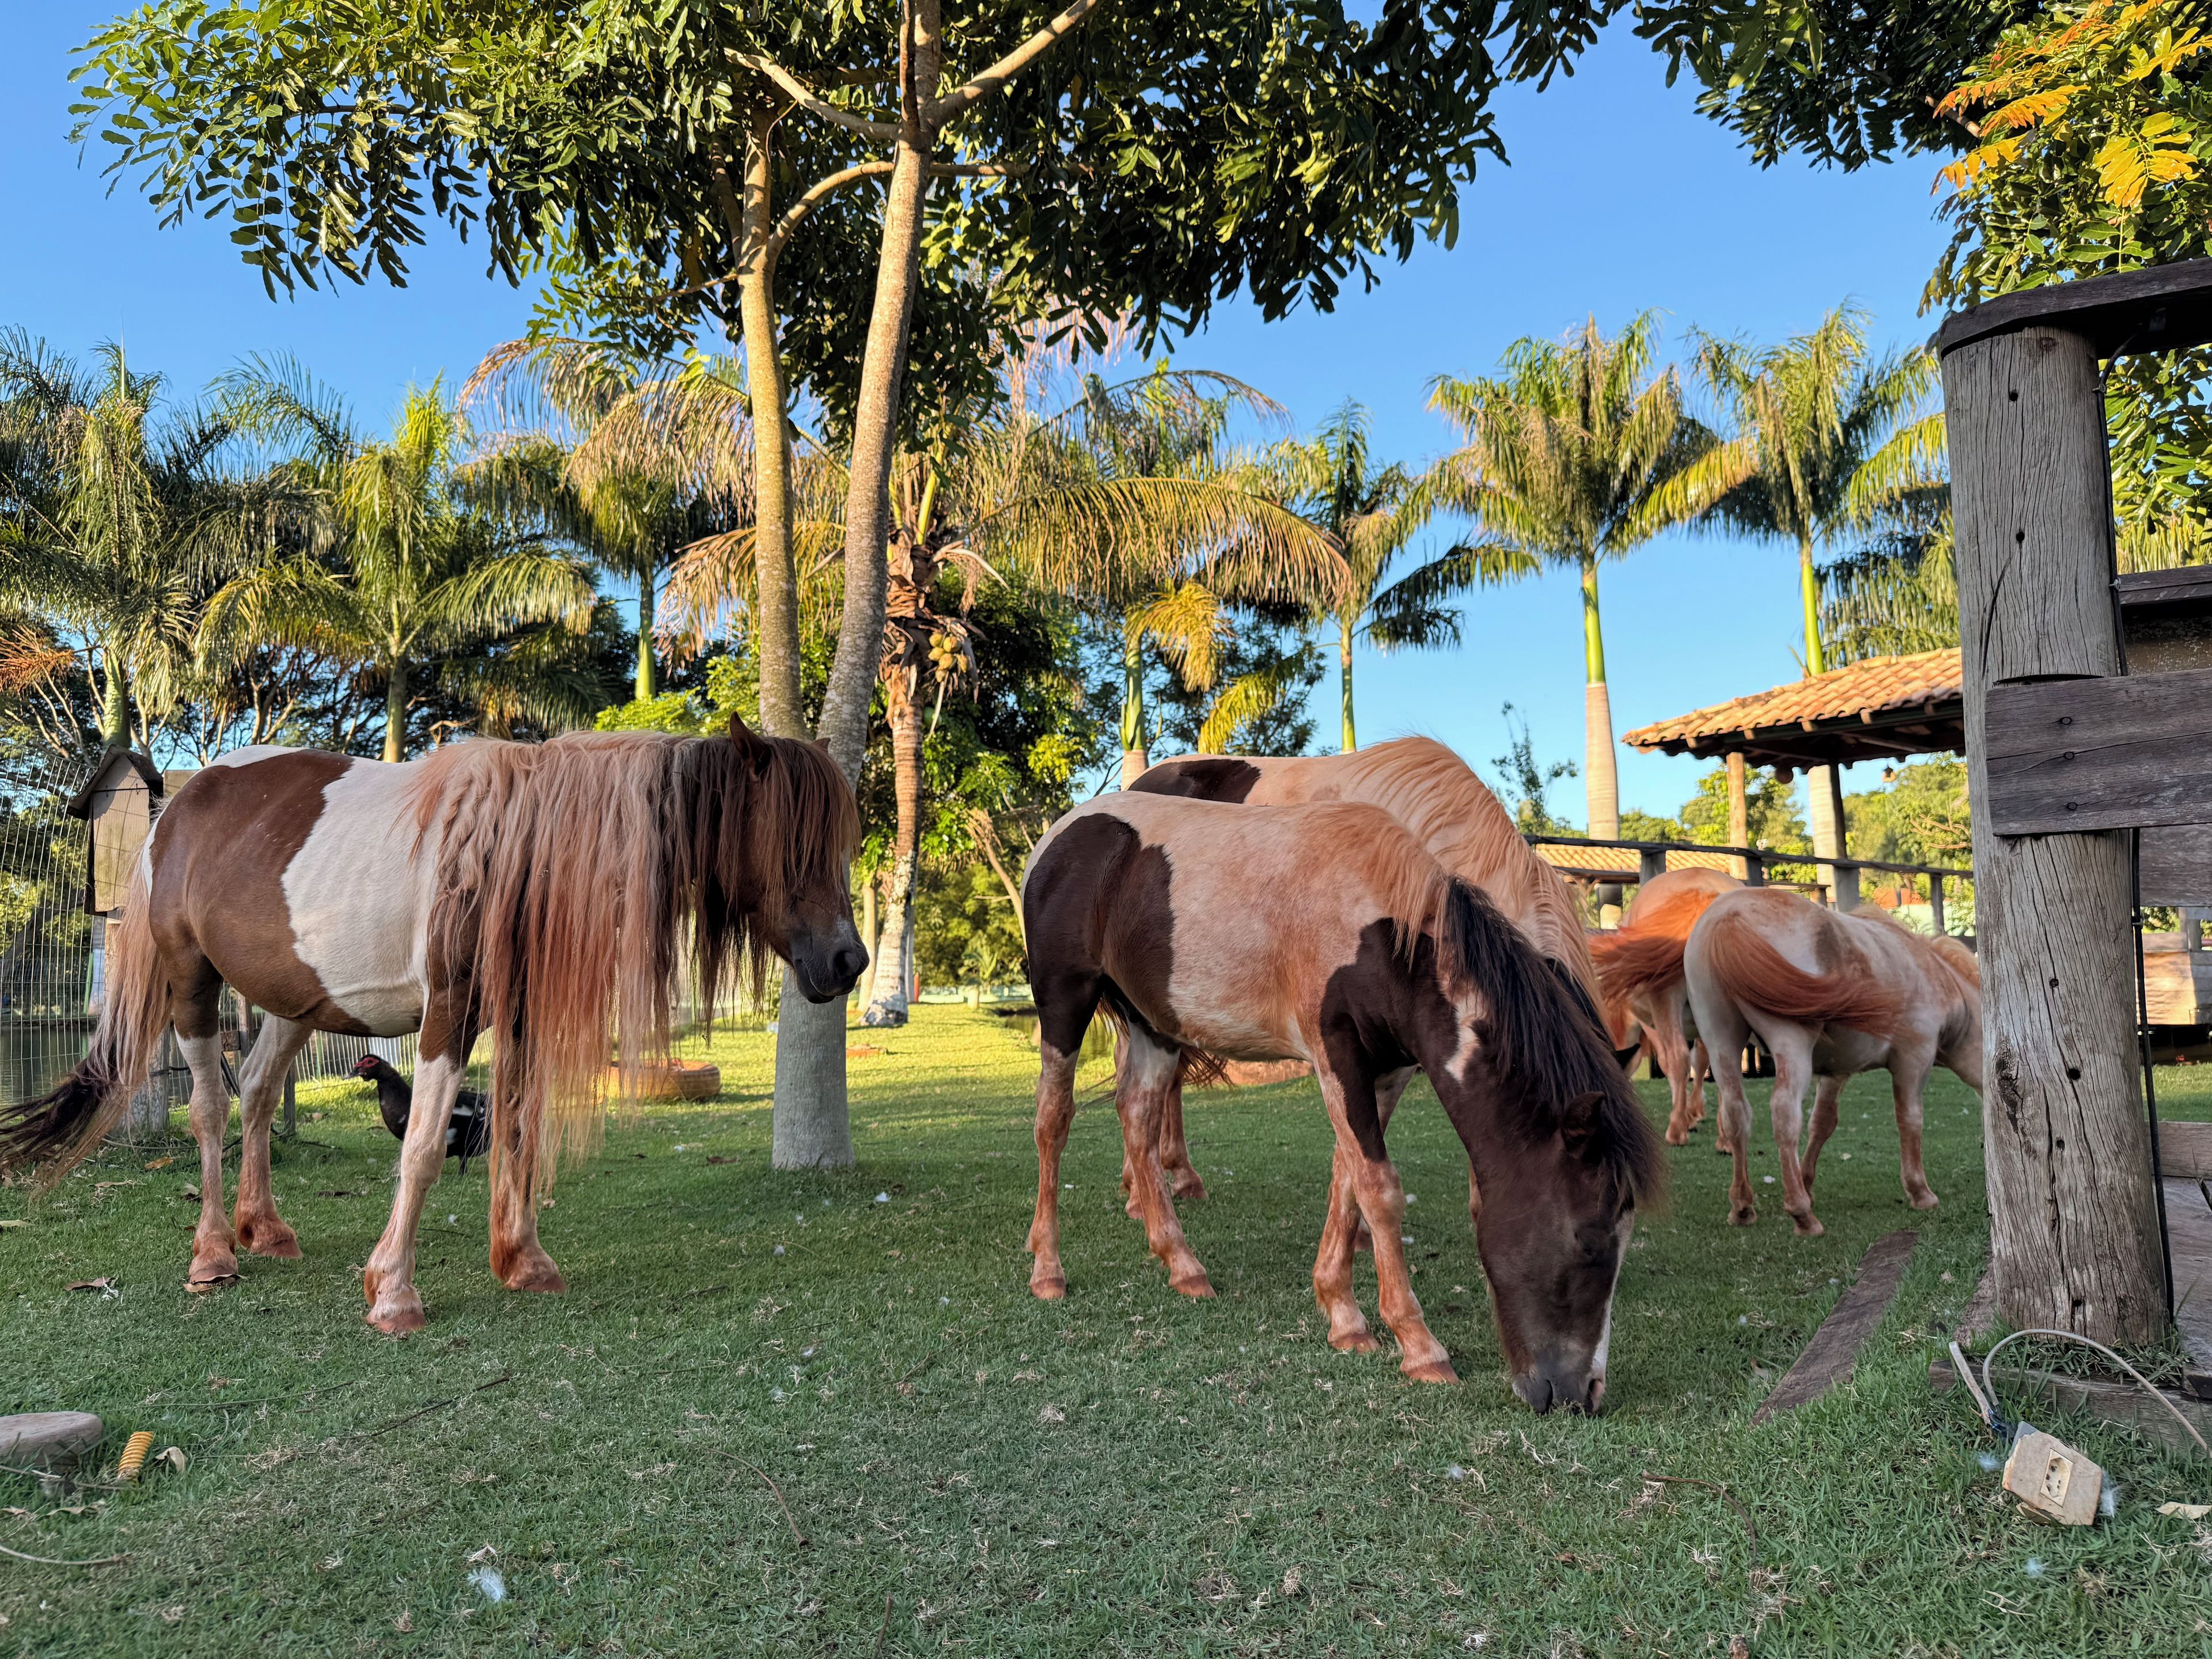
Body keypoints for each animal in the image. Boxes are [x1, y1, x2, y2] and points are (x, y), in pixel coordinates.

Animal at [0, 718, 865, 1333]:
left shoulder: (515, 1018)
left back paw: (263, 1229)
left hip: (295, 1005)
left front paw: (523, 1260)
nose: (848, 960)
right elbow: (420, 1148)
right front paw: (392, 1292)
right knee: (210, 1108)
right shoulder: (450, 1014)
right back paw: (214, 1253)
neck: (519, 849)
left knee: (257, 1093)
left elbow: (514, 1132)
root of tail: (177, 808)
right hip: (192, 984)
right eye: (789, 840)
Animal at [1021, 791, 1661, 1412]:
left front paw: (1343, 1314)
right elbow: (1380, 1190)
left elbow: (1348, 1178)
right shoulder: (1337, 1057)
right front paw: (1418, 1345)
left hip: (1153, 1022)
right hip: (1065, 1004)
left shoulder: (1387, 1072)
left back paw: (1181, 1263)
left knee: (1137, 1116)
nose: (1583, 1394)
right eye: (1590, 1240)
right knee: (1053, 1122)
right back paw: (1047, 1269)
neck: (1382, 936)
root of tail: (1058, 835)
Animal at [1589, 867, 1741, 1148]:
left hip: (1664, 1001)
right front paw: (1695, 1113)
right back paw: (1727, 1137)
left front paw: (1686, 1116)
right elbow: (1702, 1062)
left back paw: (1677, 1131)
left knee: (1679, 1057)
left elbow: (1671, 1064)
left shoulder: (1649, 1024)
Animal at [1681, 887, 1983, 1237]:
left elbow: (1822, 1123)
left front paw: (1807, 1180)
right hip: (1790, 1043)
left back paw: (1743, 1206)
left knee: (1735, 1114)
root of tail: (1729, 915)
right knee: (1784, 1112)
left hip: (1720, 1040)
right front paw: (1920, 1191)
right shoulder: (1913, 1060)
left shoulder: (1835, 1073)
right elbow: (1910, 1120)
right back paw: (1802, 1213)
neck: (1934, 975)